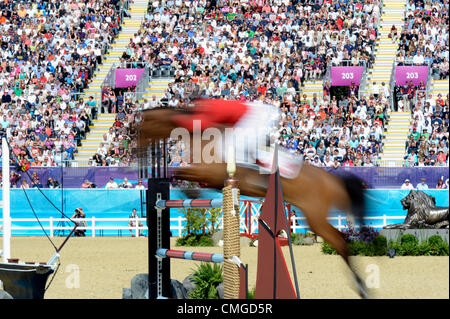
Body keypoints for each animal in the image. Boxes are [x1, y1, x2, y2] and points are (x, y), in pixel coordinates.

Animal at [137, 105, 370, 300]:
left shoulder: (211, 172)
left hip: (315, 217)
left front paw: (190, 193)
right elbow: (182, 174)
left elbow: (181, 173)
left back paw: (362, 288)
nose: (136, 153)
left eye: (140, 128)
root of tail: (332, 179)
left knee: (340, 241)